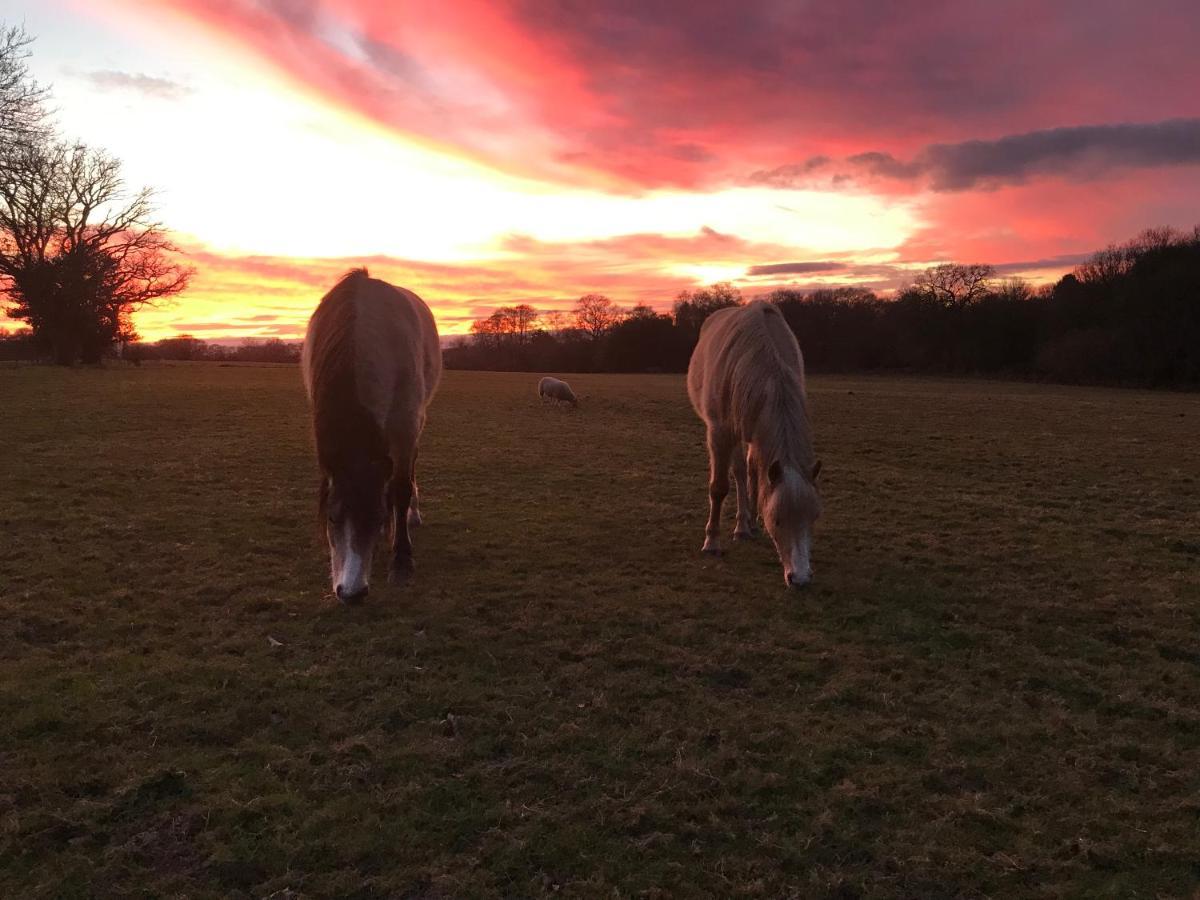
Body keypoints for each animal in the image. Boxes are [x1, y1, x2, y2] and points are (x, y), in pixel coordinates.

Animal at [302, 270, 444, 607]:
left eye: (378, 517)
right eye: (331, 518)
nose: (352, 593)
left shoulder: (406, 423)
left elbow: (400, 488)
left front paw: (401, 561)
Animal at [686, 300, 825, 588]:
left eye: (814, 517)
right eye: (778, 520)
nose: (800, 578)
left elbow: (754, 475)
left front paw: (749, 523)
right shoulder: (720, 432)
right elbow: (719, 487)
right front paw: (711, 542)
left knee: (749, 471)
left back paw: (746, 525)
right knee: (739, 473)